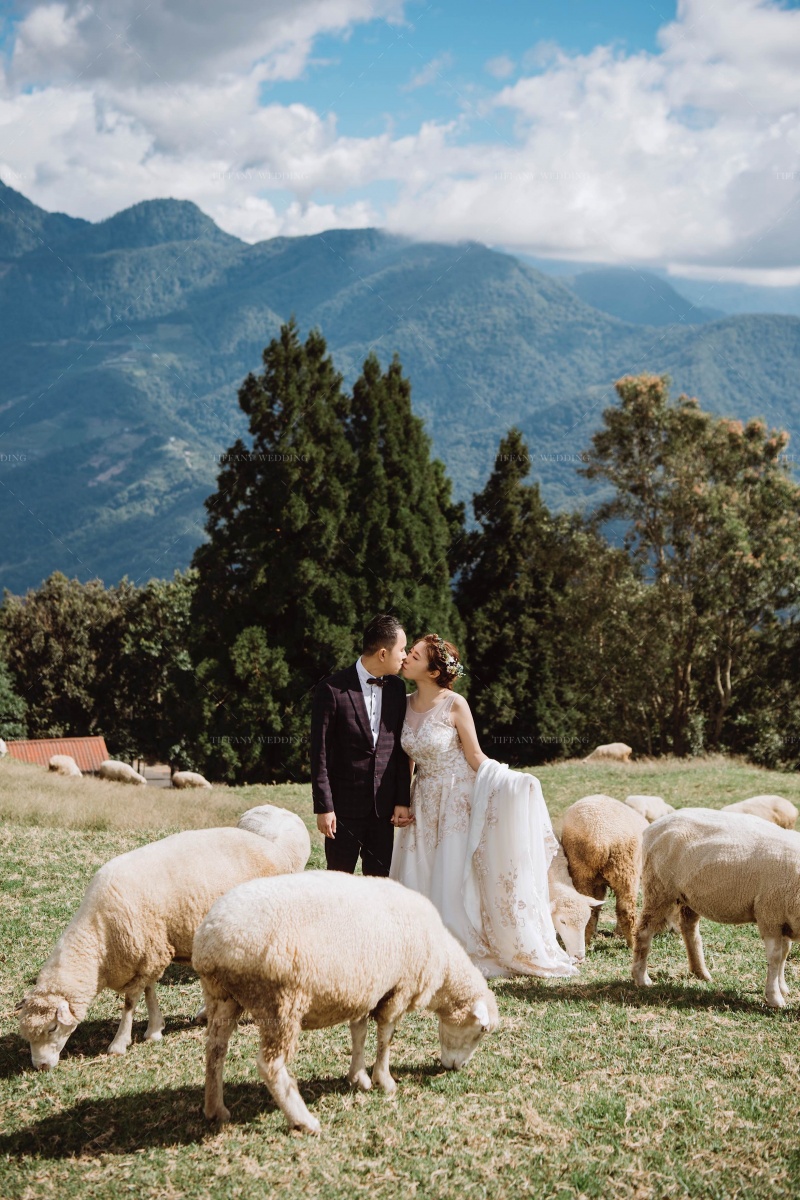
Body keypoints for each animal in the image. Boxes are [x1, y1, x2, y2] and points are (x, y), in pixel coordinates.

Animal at [17, 810, 311, 1070]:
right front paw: (155, 1029)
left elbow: (130, 1002)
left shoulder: (148, 951)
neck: (99, 938)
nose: (40, 1066)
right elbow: (149, 991)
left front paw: (119, 1043)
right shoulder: (150, 953)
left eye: (52, 1027)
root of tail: (276, 850)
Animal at [193, 870, 499, 1134]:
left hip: (222, 996)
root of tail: (209, 939)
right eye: (481, 1031)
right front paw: (384, 1081)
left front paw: (358, 1077)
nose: (457, 1068)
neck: (443, 962)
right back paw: (303, 1120)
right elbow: (385, 1037)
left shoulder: (365, 990)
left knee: (215, 1050)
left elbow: (358, 1033)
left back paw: (215, 1109)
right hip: (279, 1002)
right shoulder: (398, 990)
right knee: (270, 1065)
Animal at [561, 794, 648, 947]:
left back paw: (585, 940)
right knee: (626, 909)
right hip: (626, 869)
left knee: (587, 906)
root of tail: (599, 839)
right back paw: (632, 942)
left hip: (581, 870)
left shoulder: (598, 883)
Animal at [633, 807, 800, 1008]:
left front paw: (783, 988)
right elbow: (775, 957)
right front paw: (775, 997)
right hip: (659, 889)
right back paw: (641, 978)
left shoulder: (783, 917)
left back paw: (701, 972)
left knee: (689, 930)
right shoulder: (769, 915)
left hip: (688, 896)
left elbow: (784, 954)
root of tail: (653, 827)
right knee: (644, 932)